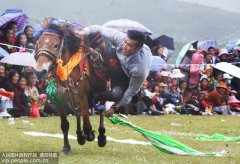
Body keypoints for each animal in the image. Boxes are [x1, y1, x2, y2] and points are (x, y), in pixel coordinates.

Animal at [34, 21, 107, 155]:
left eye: (56, 45)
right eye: (38, 43)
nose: (39, 71)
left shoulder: (83, 97)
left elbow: (87, 120)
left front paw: (90, 134)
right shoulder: (60, 100)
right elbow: (65, 125)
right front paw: (66, 148)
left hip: (103, 92)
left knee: (101, 111)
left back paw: (101, 137)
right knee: (78, 113)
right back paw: (80, 136)